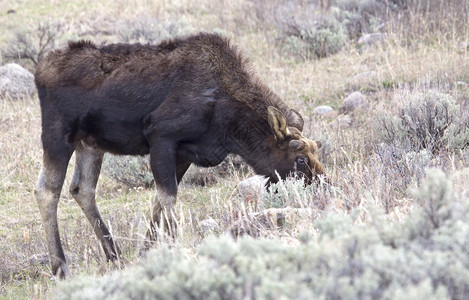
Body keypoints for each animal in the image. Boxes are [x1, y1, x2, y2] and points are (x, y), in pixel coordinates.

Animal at [33, 31, 326, 278]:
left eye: (316, 151)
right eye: (300, 159)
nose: (325, 188)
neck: (230, 124)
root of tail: (40, 70)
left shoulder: (185, 153)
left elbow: (158, 203)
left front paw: (146, 252)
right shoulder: (161, 136)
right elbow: (168, 199)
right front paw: (175, 250)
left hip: (90, 143)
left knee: (82, 188)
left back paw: (114, 256)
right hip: (59, 134)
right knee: (47, 190)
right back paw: (60, 267)